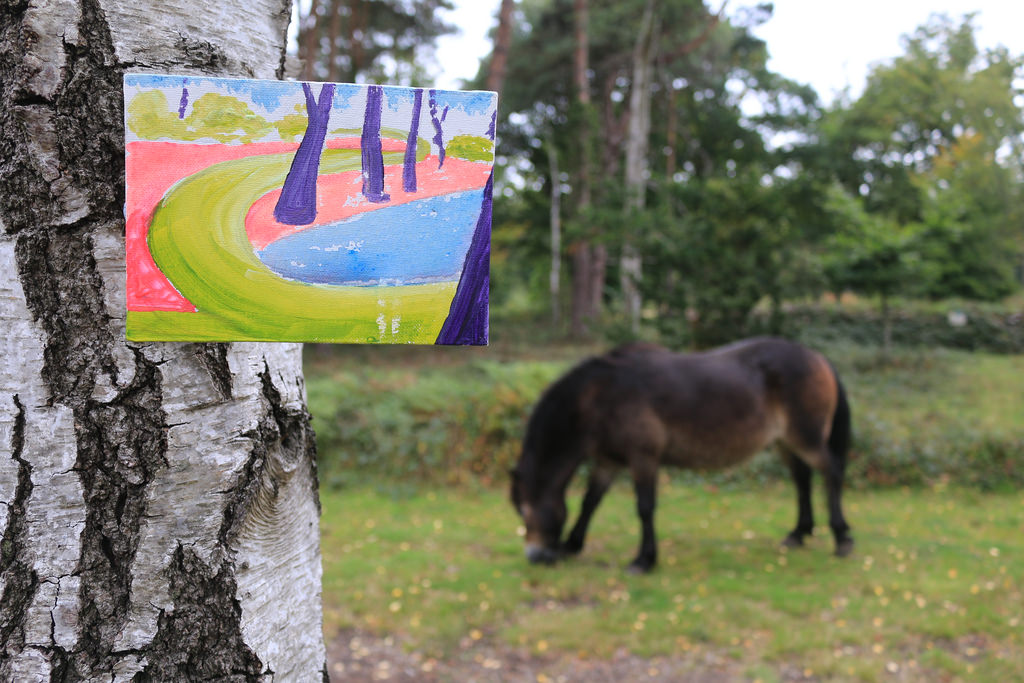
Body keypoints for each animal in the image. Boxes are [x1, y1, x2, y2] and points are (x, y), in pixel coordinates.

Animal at [509, 337, 853, 573]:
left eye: (525, 510)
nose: (535, 556)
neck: (600, 397)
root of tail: (817, 357)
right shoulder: (609, 462)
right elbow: (590, 502)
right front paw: (572, 545)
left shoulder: (643, 459)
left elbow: (644, 508)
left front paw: (644, 560)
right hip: (785, 442)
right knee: (802, 479)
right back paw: (798, 534)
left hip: (806, 440)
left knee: (831, 472)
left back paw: (842, 539)